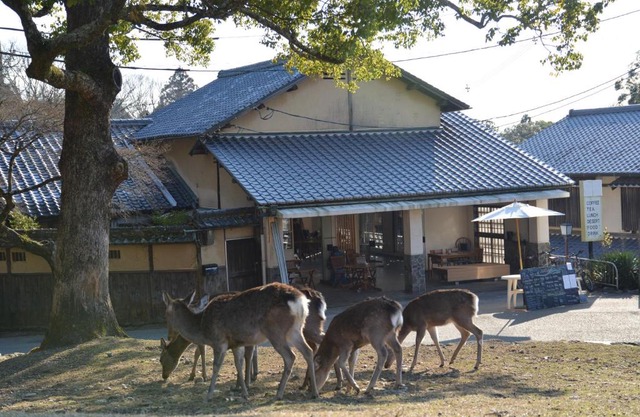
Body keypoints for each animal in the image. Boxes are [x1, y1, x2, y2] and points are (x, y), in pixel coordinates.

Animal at [162, 282, 319, 401]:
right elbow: (239, 364)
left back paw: (279, 394)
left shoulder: (219, 341)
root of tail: (300, 301)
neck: (202, 328)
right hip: (295, 330)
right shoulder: (236, 344)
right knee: (308, 351)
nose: (169, 335)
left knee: (291, 356)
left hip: (276, 332)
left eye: (167, 315)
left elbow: (216, 366)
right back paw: (314, 392)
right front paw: (244, 392)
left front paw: (209, 394)